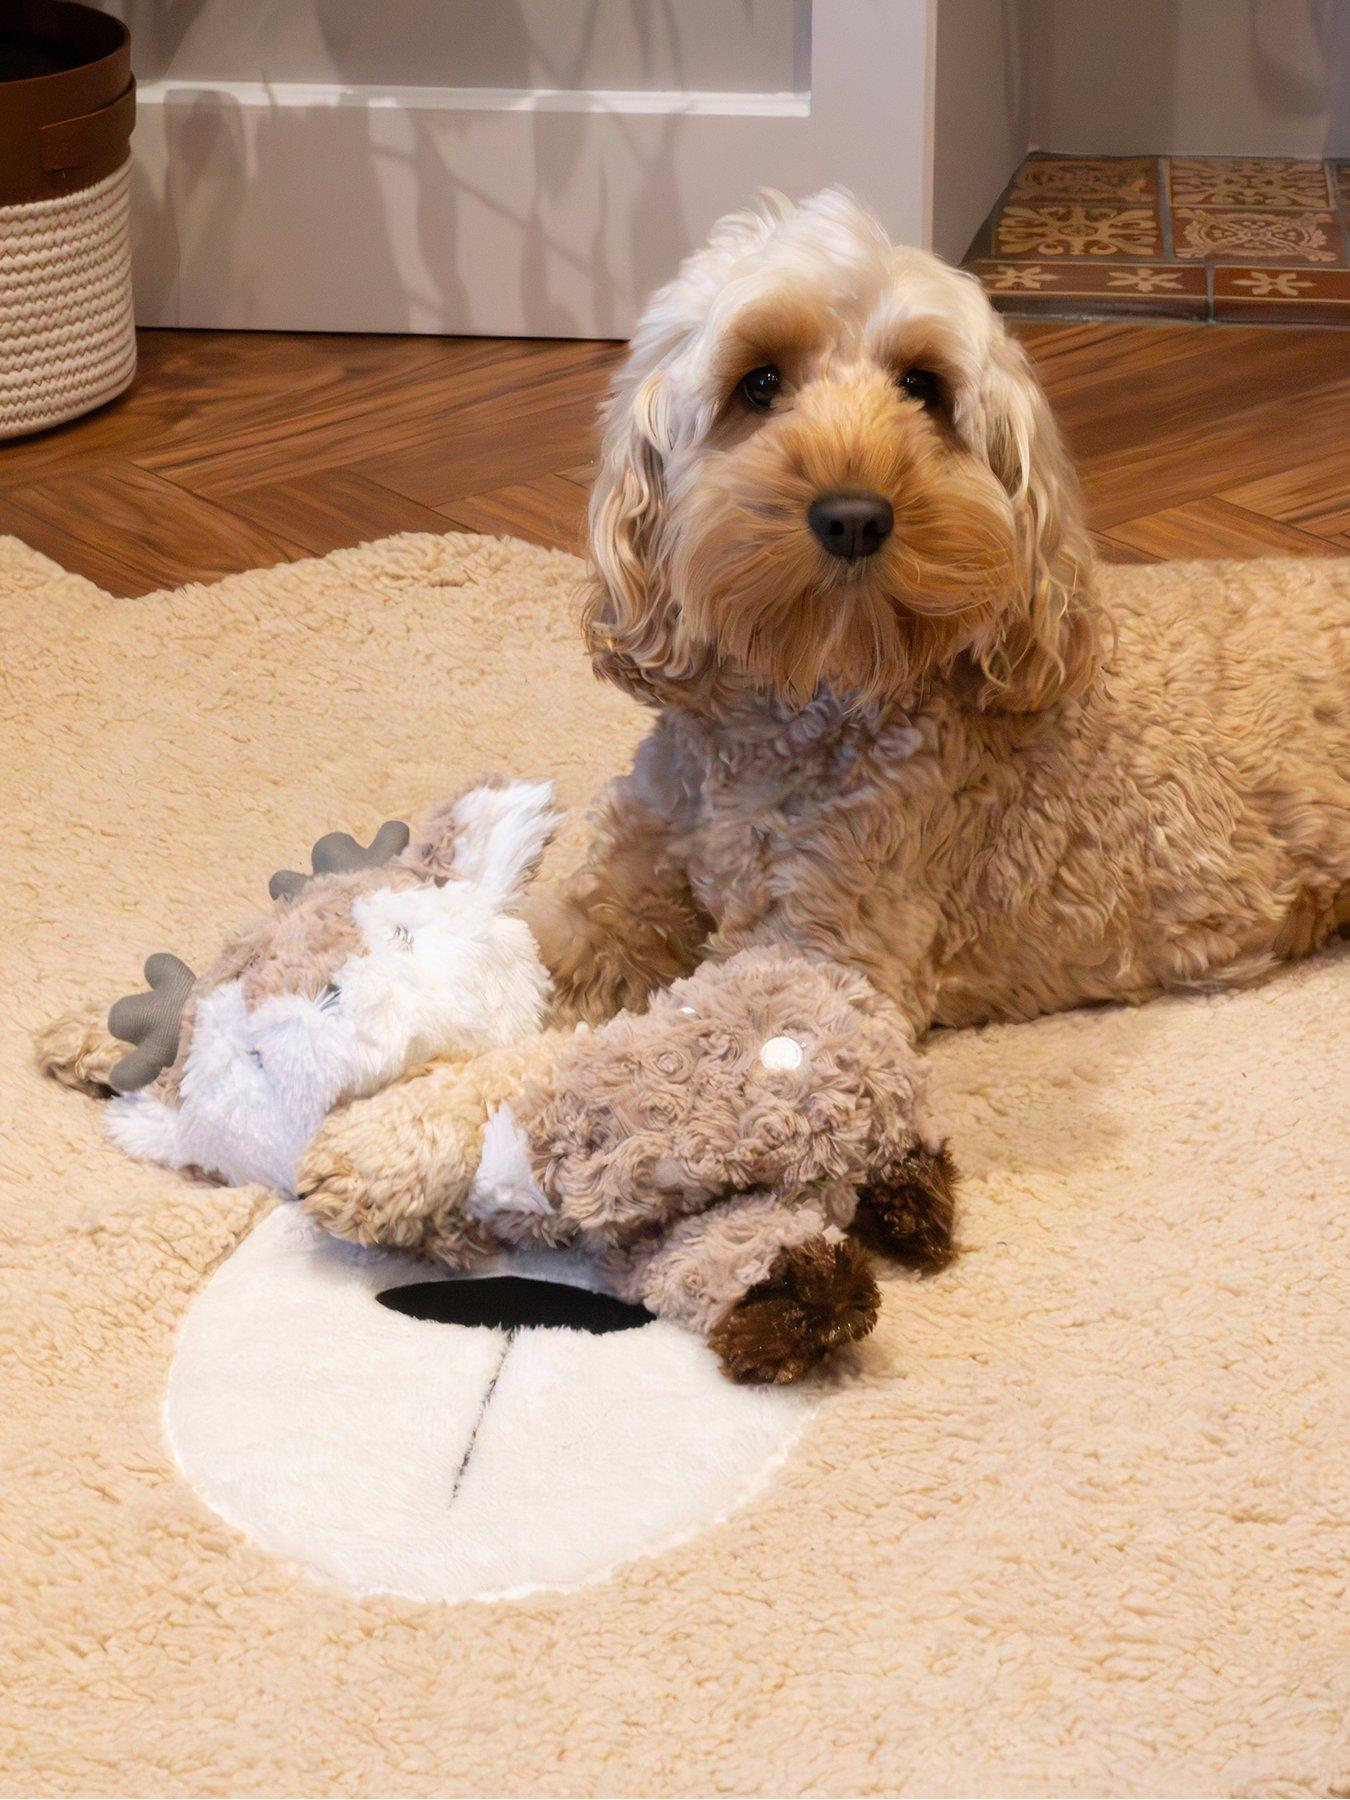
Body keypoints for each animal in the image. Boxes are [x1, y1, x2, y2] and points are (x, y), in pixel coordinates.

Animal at [522, 188, 1350, 1036]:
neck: (796, 701)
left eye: (922, 385)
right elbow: (543, 943)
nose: (854, 517)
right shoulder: (624, 888)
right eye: (758, 382)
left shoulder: (822, 954)